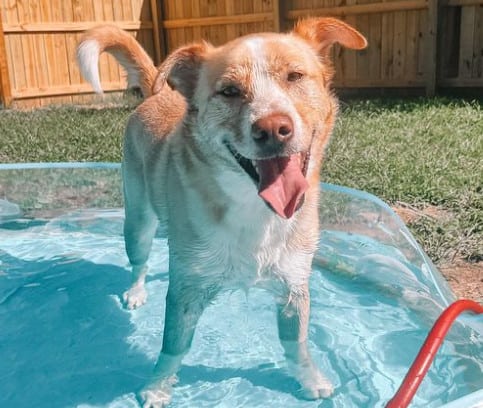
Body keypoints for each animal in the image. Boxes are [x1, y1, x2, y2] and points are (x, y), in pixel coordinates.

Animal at [76, 19, 366, 408]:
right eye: (229, 91)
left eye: (295, 76)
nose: (273, 129)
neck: (254, 209)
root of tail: (156, 93)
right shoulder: (185, 290)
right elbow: (173, 347)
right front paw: (158, 386)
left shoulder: (294, 285)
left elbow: (297, 344)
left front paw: (309, 377)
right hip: (137, 222)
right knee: (139, 261)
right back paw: (136, 290)